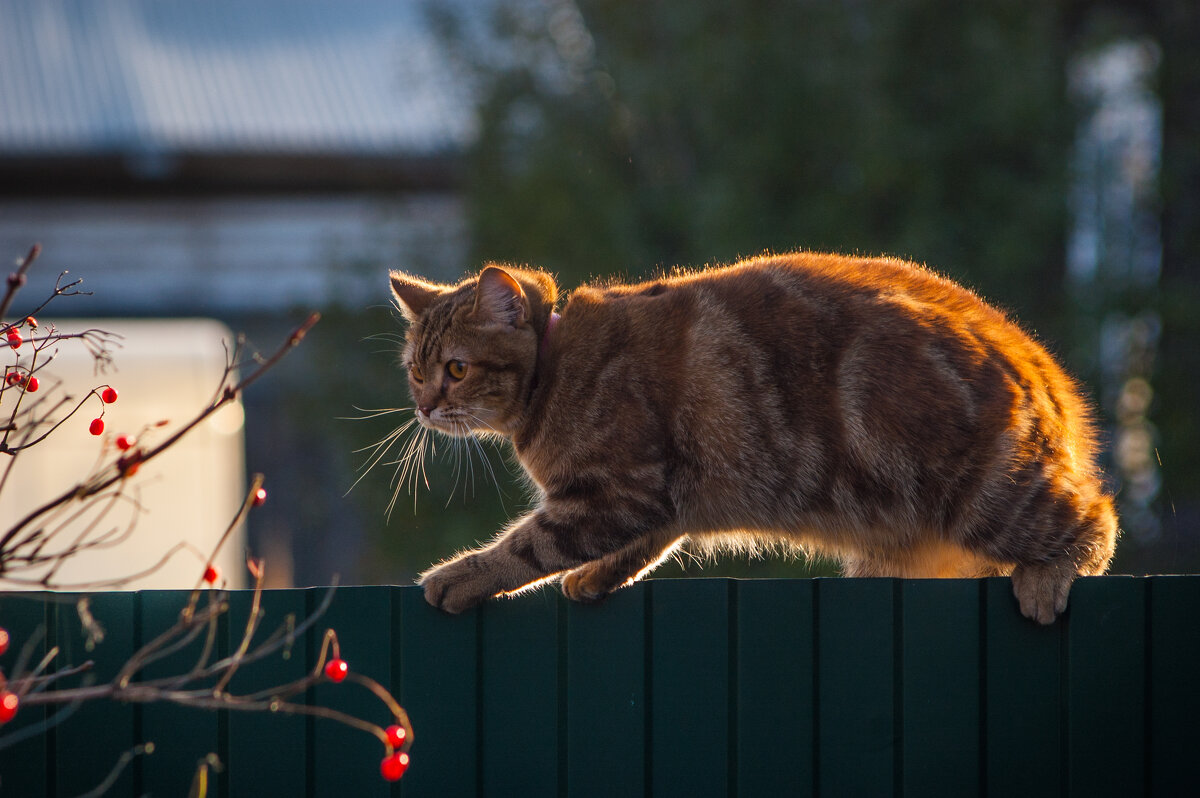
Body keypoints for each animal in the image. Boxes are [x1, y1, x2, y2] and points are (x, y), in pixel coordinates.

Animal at [388, 250, 1118, 624]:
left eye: (457, 369)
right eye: (416, 370)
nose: (424, 406)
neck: (555, 367)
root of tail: (1043, 366)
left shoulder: (613, 493)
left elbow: (527, 545)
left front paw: (464, 573)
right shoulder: (660, 497)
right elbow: (646, 543)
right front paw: (597, 577)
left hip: (988, 493)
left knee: (1095, 520)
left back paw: (1048, 578)